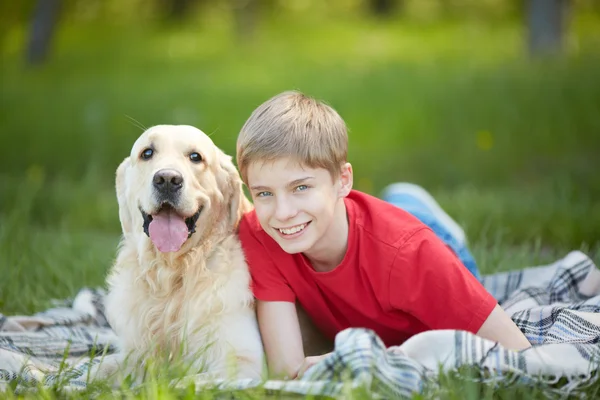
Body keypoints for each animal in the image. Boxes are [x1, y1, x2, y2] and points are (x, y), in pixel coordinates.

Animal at [102, 126, 264, 382]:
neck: (172, 274)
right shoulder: (133, 353)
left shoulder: (243, 362)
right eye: (147, 153)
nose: (167, 179)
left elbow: (184, 381)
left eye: (195, 157)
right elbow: (95, 369)